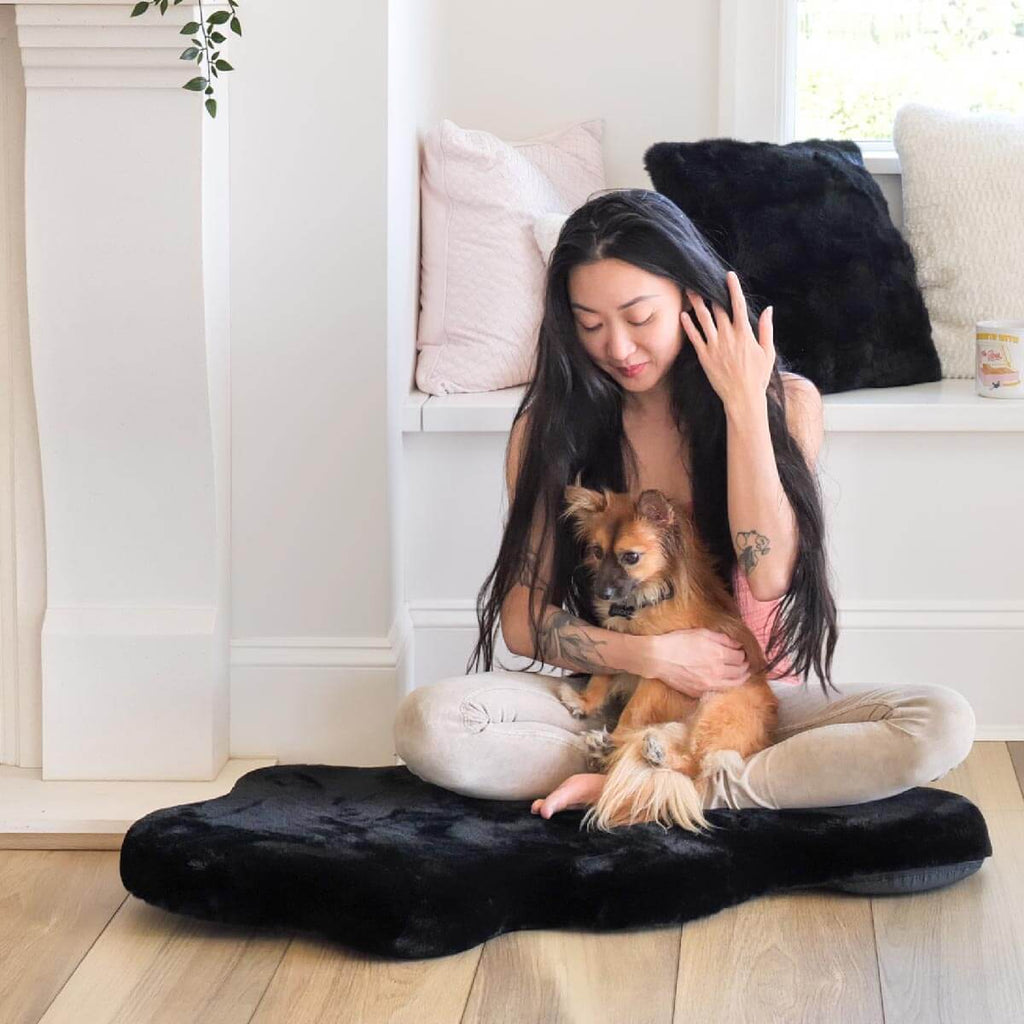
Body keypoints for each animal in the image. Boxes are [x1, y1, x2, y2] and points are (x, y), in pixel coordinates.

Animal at [557, 485, 778, 831]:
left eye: (631, 557)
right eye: (596, 551)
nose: (603, 593)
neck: (644, 600)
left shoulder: (662, 672)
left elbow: (633, 712)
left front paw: (616, 736)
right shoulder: (621, 646)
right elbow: (601, 676)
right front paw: (583, 702)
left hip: (715, 708)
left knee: (692, 764)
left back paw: (624, 750)